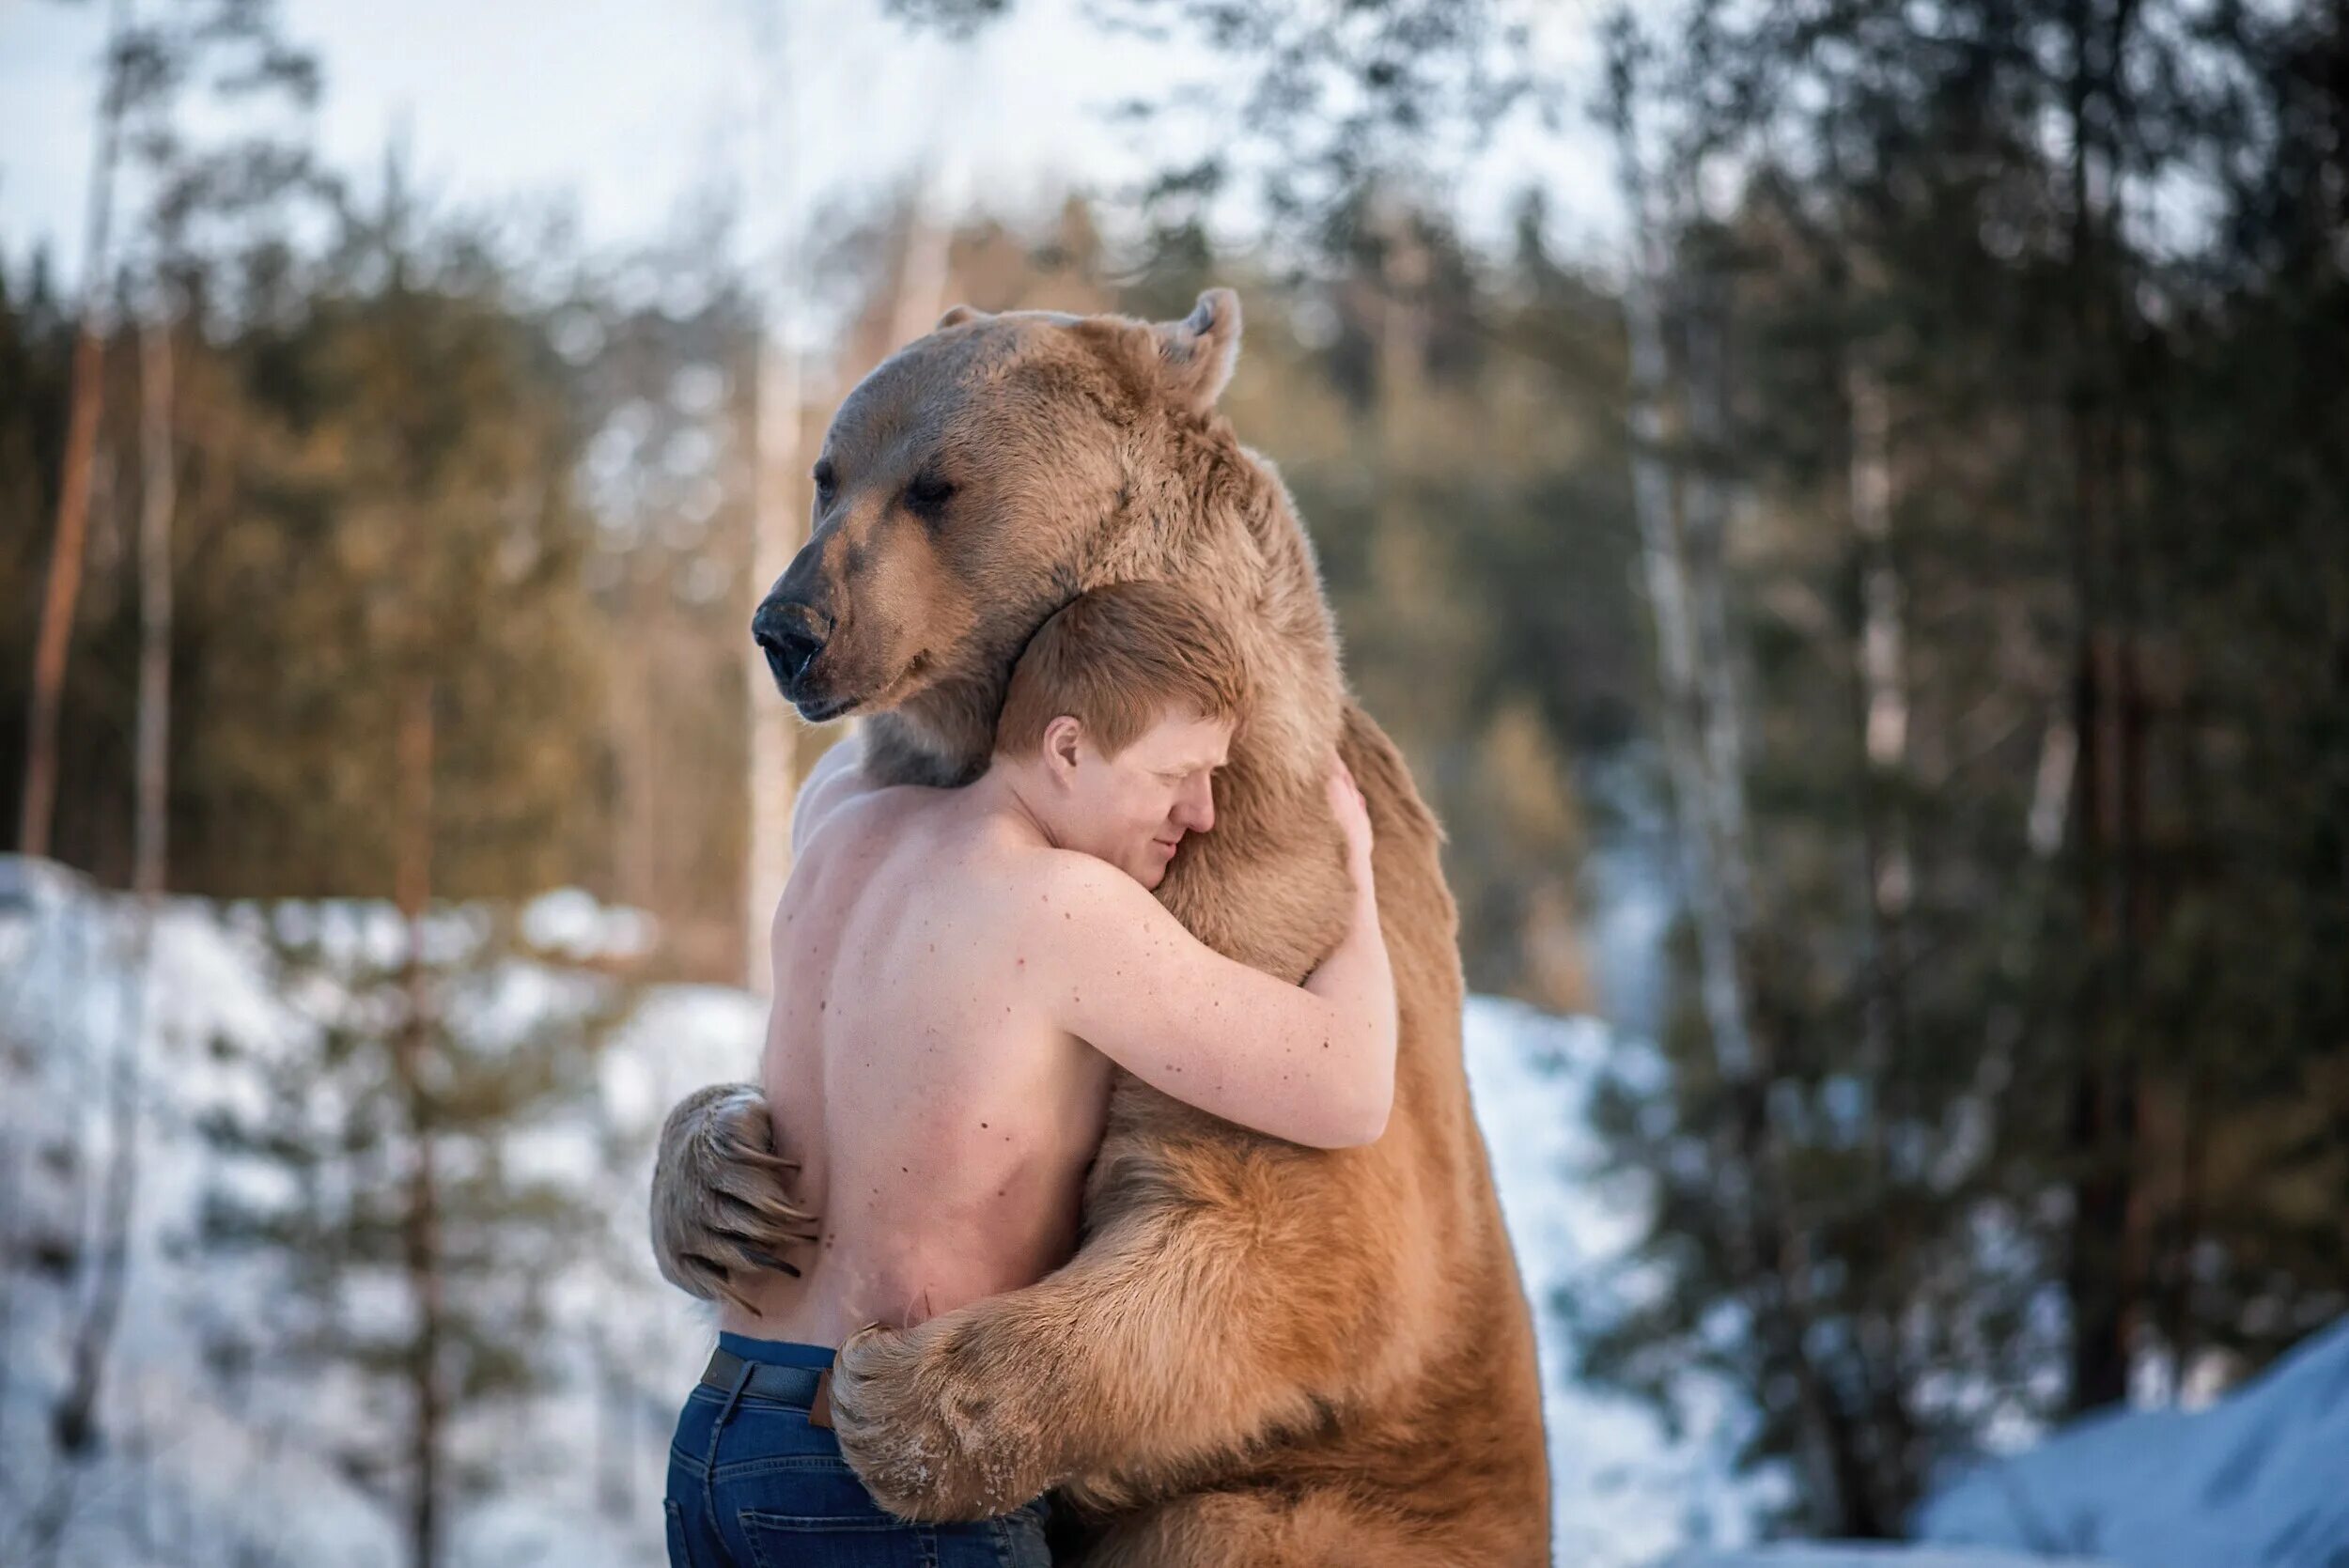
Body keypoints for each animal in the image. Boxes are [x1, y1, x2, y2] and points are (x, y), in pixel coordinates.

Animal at [653, 287, 1550, 1559]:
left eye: (937, 483)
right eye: (828, 472)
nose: (789, 626)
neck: (974, 754)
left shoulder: (1257, 907)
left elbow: (1288, 1219)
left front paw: (903, 1396)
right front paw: (717, 1188)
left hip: (1361, 1503)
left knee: (1224, 1519)